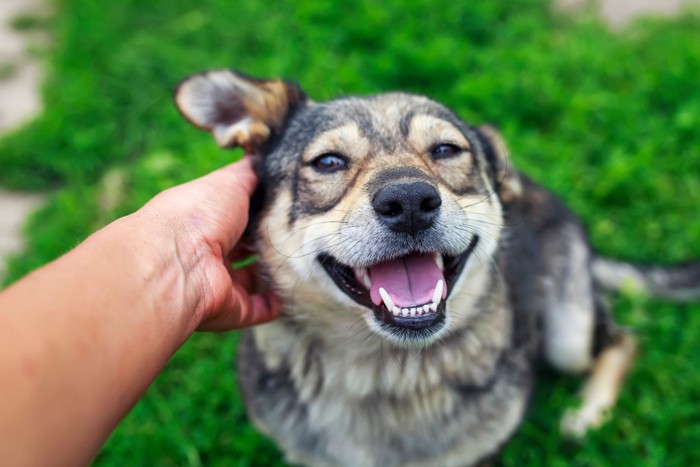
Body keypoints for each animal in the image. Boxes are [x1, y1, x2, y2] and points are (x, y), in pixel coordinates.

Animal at [172, 70, 696, 467]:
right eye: (328, 161)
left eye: (446, 150)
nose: (408, 202)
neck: (385, 372)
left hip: (567, 333)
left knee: (625, 339)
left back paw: (588, 413)